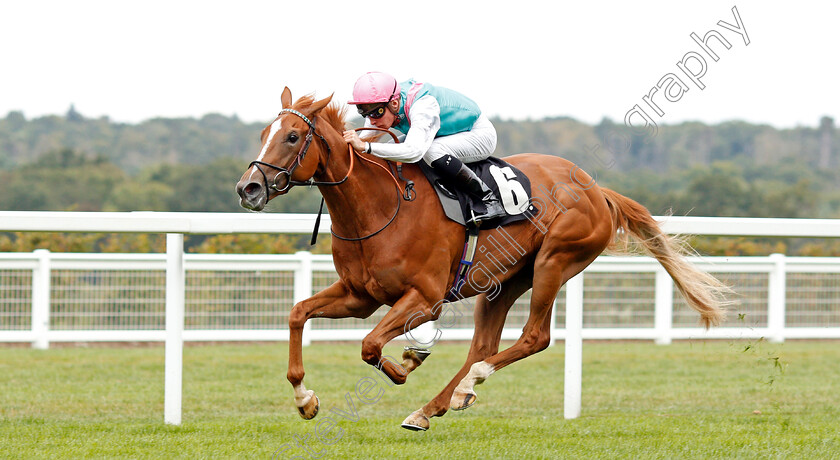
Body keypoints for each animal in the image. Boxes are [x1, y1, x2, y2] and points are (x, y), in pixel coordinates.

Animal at [235, 89, 728, 432]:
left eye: (293, 136)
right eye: (262, 135)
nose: (248, 188)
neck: (379, 206)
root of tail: (596, 188)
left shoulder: (425, 298)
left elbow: (372, 345)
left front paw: (407, 362)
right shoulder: (360, 296)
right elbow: (298, 313)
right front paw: (305, 399)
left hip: (555, 261)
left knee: (533, 337)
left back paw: (466, 386)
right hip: (504, 281)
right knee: (483, 346)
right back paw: (432, 406)